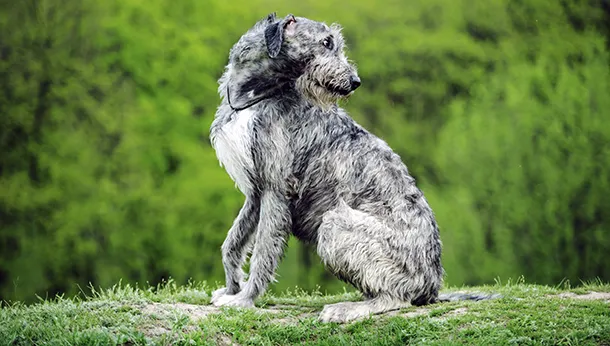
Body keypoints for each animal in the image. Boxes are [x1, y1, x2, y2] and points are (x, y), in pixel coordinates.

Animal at [209, 12, 494, 322]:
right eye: (326, 42)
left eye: (334, 43)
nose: (355, 81)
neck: (252, 97)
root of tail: (433, 285)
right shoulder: (256, 192)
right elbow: (232, 244)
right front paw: (231, 289)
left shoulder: (276, 190)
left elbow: (263, 251)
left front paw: (244, 299)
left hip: (336, 224)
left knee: (398, 297)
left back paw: (348, 308)